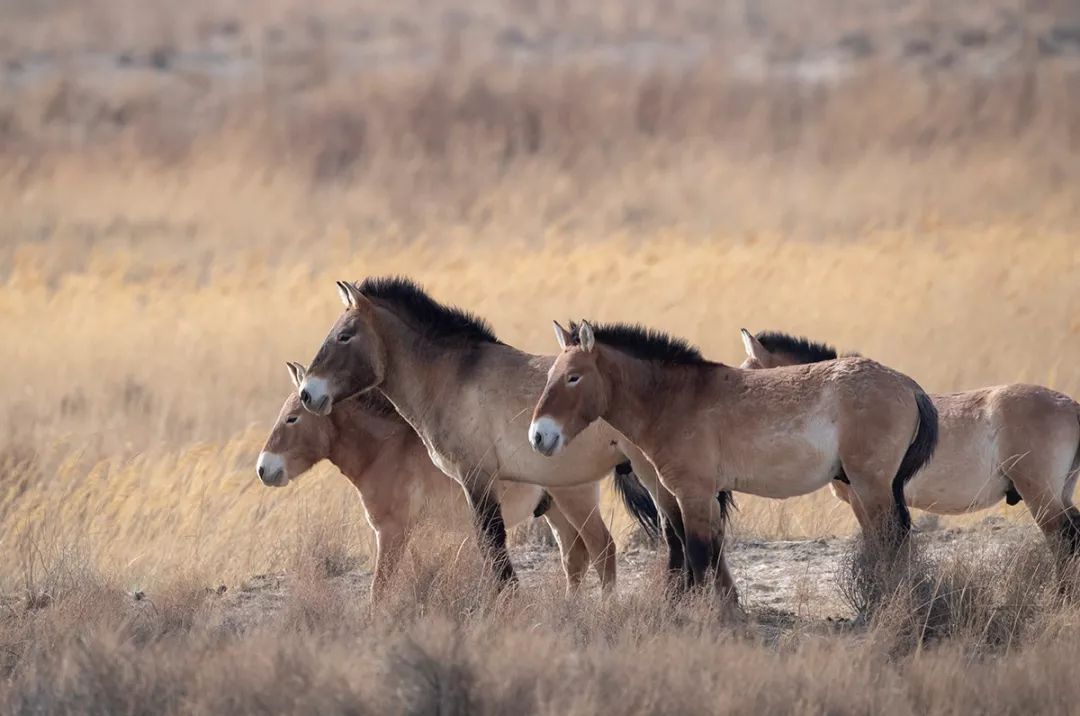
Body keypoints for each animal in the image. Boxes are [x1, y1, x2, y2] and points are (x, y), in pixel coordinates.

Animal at [257, 365, 656, 600]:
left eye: (292, 418)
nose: (264, 469)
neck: (386, 449)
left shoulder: (391, 532)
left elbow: (379, 590)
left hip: (576, 502)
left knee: (602, 550)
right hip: (556, 511)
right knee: (575, 558)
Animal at [531, 319, 937, 600]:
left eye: (573, 377)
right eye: (551, 375)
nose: (539, 435)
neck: (675, 400)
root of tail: (908, 386)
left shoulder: (693, 495)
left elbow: (697, 556)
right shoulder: (704, 497)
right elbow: (710, 554)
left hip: (870, 487)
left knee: (890, 539)